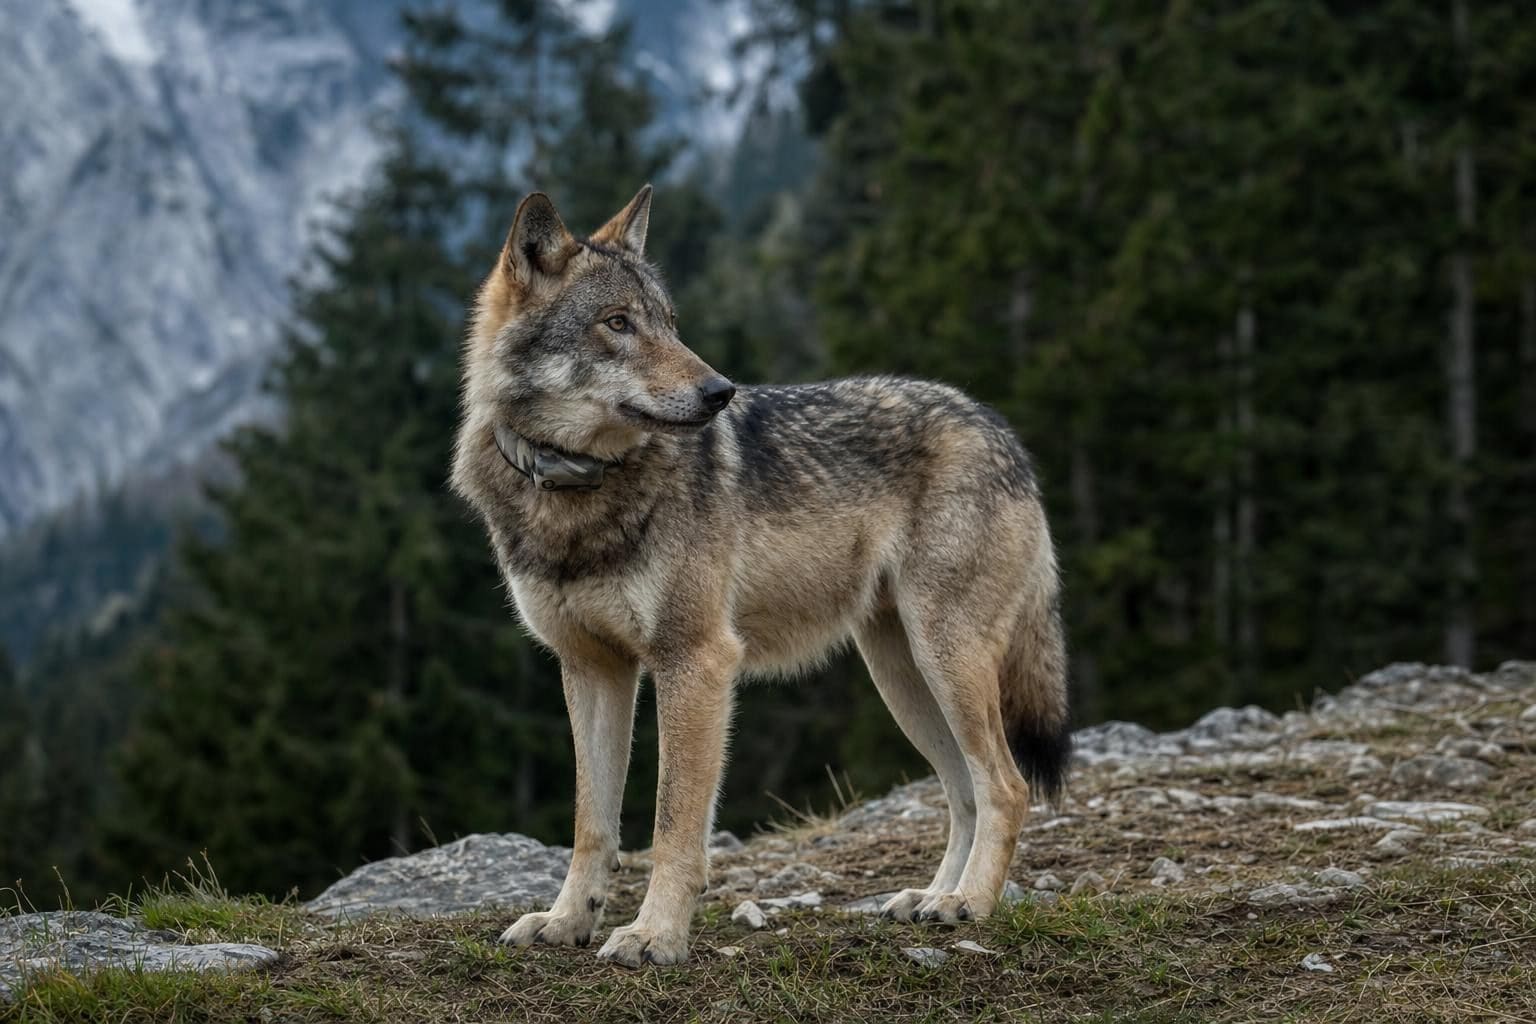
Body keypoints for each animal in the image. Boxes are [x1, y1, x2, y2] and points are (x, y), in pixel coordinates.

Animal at [450, 185, 1070, 967]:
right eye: (618, 324)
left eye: (669, 323)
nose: (721, 390)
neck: (578, 491)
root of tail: (1000, 428)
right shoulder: (591, 668)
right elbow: (593, 823)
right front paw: (566, 921)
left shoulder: (697, 661)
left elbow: (673, 824)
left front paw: (655, 935)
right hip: (903, 676)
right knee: (963, 792)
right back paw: (931, 898)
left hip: (945, 659)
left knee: (1008, 787)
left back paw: (969, 904)